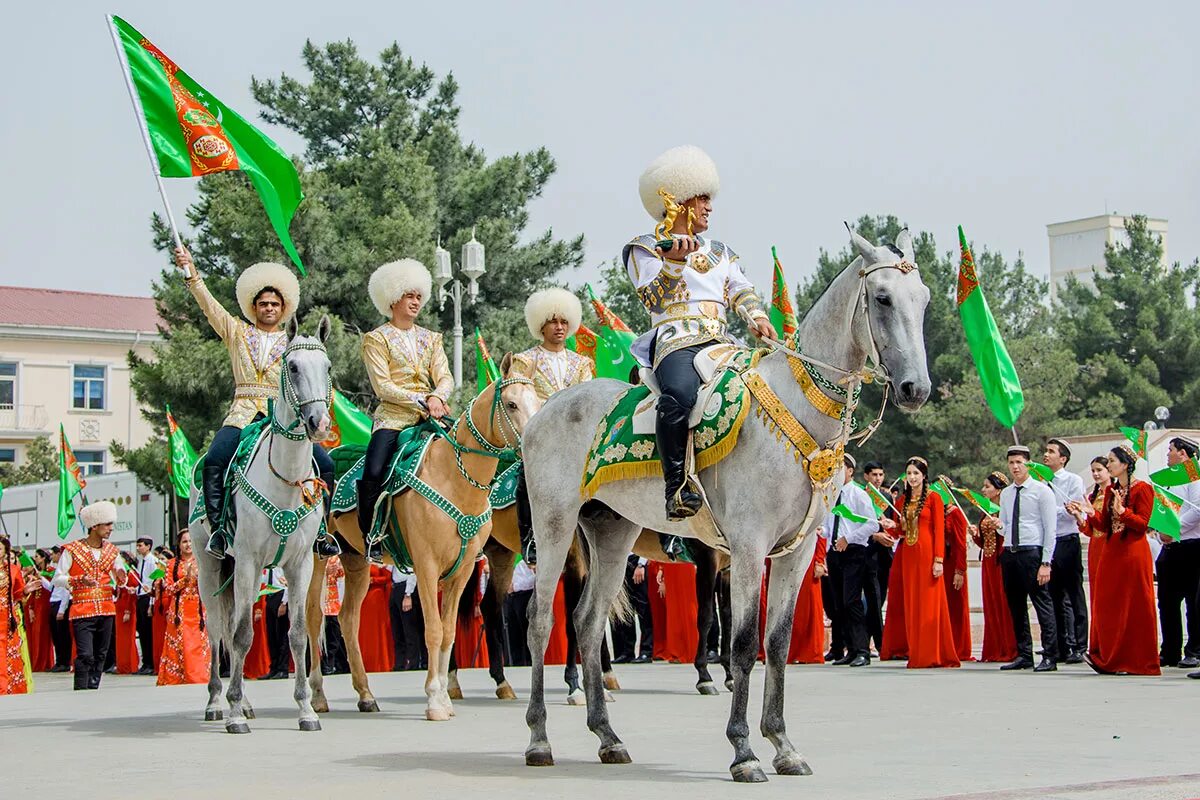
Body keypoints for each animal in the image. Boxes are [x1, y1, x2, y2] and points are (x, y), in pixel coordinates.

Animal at [196, 311, 336, 734]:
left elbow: (298, 635)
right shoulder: (247, 560)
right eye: (292, 367)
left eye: (327, 367)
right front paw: (233, 713)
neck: (284, 479)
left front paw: (306, 710)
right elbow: (242, 635)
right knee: (218, 630)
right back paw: (217, 702)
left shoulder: (300, 563)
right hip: (211, 567)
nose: (319, 422)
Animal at [309, 357, 540, 719]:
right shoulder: (427, 566)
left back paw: (366, 695)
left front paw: (444, 694)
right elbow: (433, 630)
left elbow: (448, 632)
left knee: (347, 619)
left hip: (355, 559)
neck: (453, 477)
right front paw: (434, 699)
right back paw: (317, 696)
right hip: (318, 558)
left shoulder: (461, 571)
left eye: (540, 402)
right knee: (313, 617)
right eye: (512, 404)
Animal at [523, 230, 926, 782]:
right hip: (555, 525)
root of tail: (543, 412)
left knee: (586, 621)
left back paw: (608, 737)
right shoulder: (748, 546)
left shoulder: (797, 552)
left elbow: (775, 642)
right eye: (882, 298)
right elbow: (740, 641)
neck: (796, 410)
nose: (915, 388)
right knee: (542, 621)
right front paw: (744, 751)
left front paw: (783, 745)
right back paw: (539, 739)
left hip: (612, 533)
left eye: (923, 299)